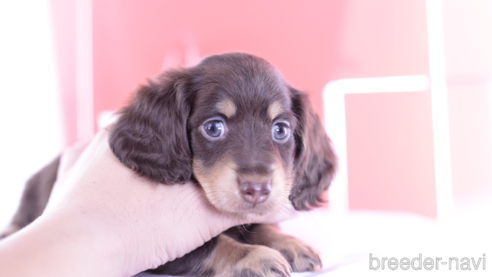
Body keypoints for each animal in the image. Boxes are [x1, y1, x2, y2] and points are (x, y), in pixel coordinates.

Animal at [0, 52, 336, 274]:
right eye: (213, 127)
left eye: (281, 130)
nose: (257, 190)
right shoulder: (160, 247)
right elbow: (210, 245)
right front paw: (253, 257)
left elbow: (256, 225)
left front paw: (289, 242)